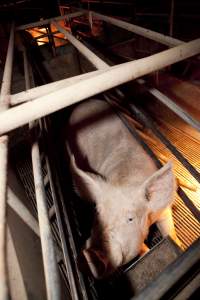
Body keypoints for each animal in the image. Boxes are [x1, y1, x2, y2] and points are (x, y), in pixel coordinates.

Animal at [66, 99, 180, 278]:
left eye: (130, 218)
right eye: (97, 212)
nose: (89, 255)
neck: (125, 180)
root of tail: (82, 104)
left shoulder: (162, 210)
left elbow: (169, 230)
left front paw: (178, 243)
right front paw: (146, 251)